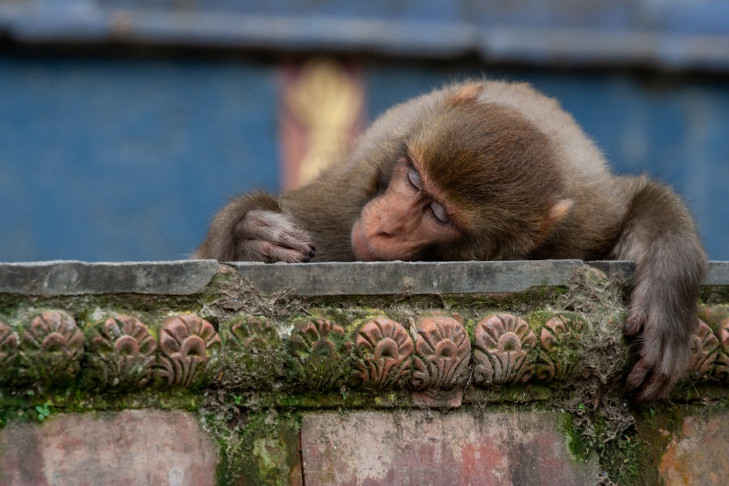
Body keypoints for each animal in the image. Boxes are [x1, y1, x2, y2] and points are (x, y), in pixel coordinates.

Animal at [195, 79, 704, 398]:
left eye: (439, 213)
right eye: (413, 180)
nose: (383, 224)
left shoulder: (585, 220)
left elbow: (637, 200)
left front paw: (667, 293)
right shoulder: (347, 200)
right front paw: (249, 237)